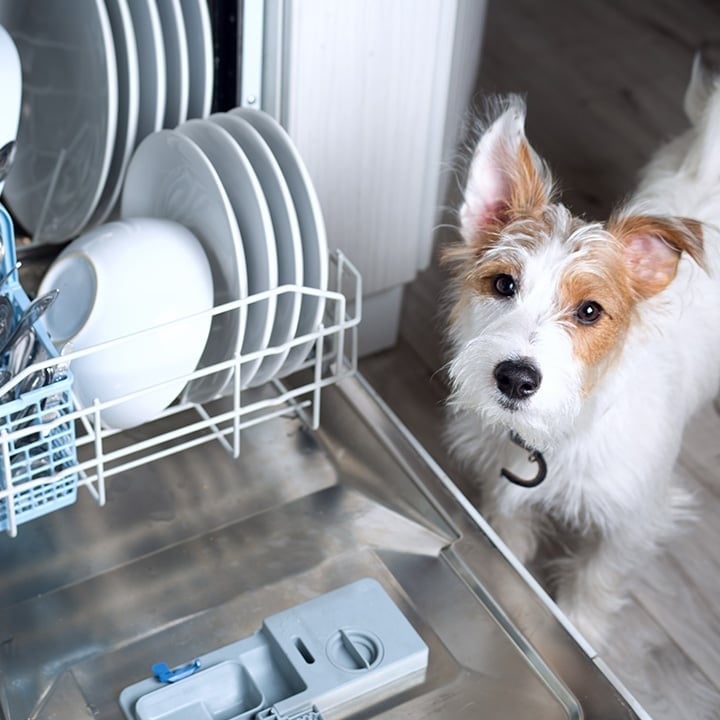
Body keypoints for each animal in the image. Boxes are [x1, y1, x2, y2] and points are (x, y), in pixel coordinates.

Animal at [442, 59, 720, 648]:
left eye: (590, 311)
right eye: (503, 284)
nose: (515, 378)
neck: (561, 431)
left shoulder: (634, 516)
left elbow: (597, 577)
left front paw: (582, 627)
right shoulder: (503, 484)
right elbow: (509, 536)